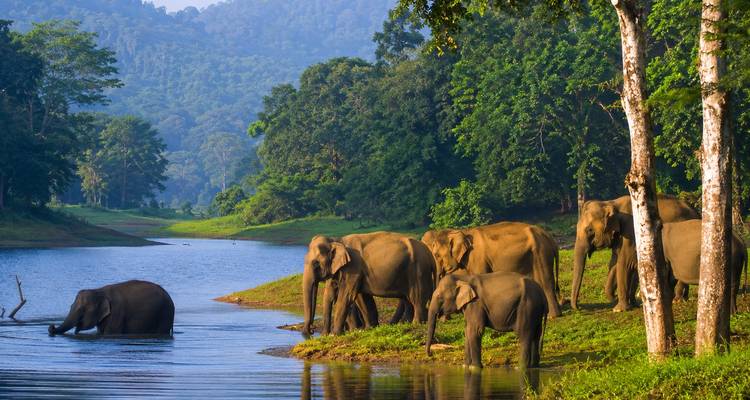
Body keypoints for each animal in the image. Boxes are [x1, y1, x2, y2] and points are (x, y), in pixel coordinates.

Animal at [302, 232, 435, 335]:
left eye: (316, 264)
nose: (311, 330)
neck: (337, 240)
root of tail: (430, 255)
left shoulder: (353, 267)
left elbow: (347, 296)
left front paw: (335, 335)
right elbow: (362, 297)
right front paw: (370, 328)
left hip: (418, 271)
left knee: (417, 298)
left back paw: (416, 324)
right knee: (408, 300)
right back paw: (407, 324)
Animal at [421, 222, 562, 318]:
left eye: (436, 255)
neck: (462, 232)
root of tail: (551, 238)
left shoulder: (477, 258)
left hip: (541, 252)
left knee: (545, 281)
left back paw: (553, 316)